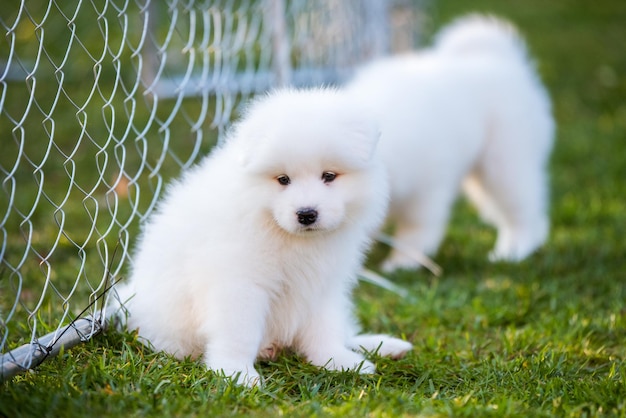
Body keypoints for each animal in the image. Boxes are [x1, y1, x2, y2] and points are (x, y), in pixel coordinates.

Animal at [113, 87, 410, 386]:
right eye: (283, 180)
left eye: (329, 176)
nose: (306, 214)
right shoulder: (239, 283)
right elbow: (239, 333)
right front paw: (237, 373)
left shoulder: (322, 282)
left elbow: (324, 326)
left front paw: (337, 361)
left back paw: (386, 346)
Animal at [344, 13, 552, 272]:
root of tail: (502, 61)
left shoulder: (426, 191)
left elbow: (415, 231)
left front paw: (402, 264)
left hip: (506, 164)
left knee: (522, 210)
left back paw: (513, 250)